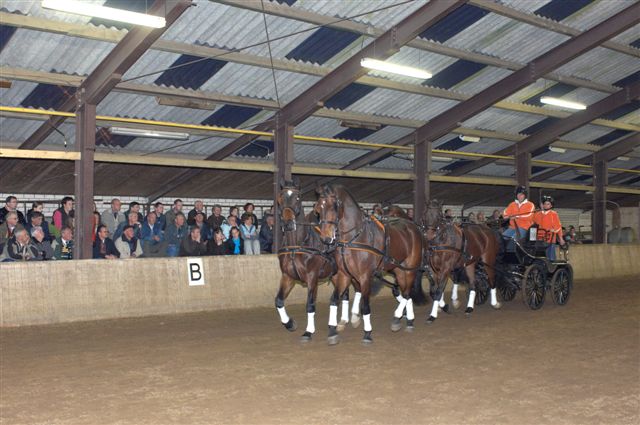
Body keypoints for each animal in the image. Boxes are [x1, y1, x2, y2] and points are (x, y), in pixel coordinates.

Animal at [274, 181, 360, 342]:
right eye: (280, 197)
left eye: (298, 197)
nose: (288, 224)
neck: (297, 246)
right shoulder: (287, 277)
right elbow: (279, 301)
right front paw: (290, 323)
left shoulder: (312, 277)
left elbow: (310, 304)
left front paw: (308, 331)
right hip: (337, 275)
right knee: (344, 294)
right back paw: (342, 321)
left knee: (356, 290)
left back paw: (354, 319)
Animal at [316, 184, 424, 342]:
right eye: (318, 209)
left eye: (333, 207)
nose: (326, 238)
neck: (354, 238)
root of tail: (414, 227)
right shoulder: (344, 275)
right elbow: (335, 299)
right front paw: (332, 331)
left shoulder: (365, 276)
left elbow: (365, 306)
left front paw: (367, 333)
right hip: (399, 269)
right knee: (405, 291)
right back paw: (409, 321)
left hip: (410, 269)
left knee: (406, 293)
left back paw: (397, 318)